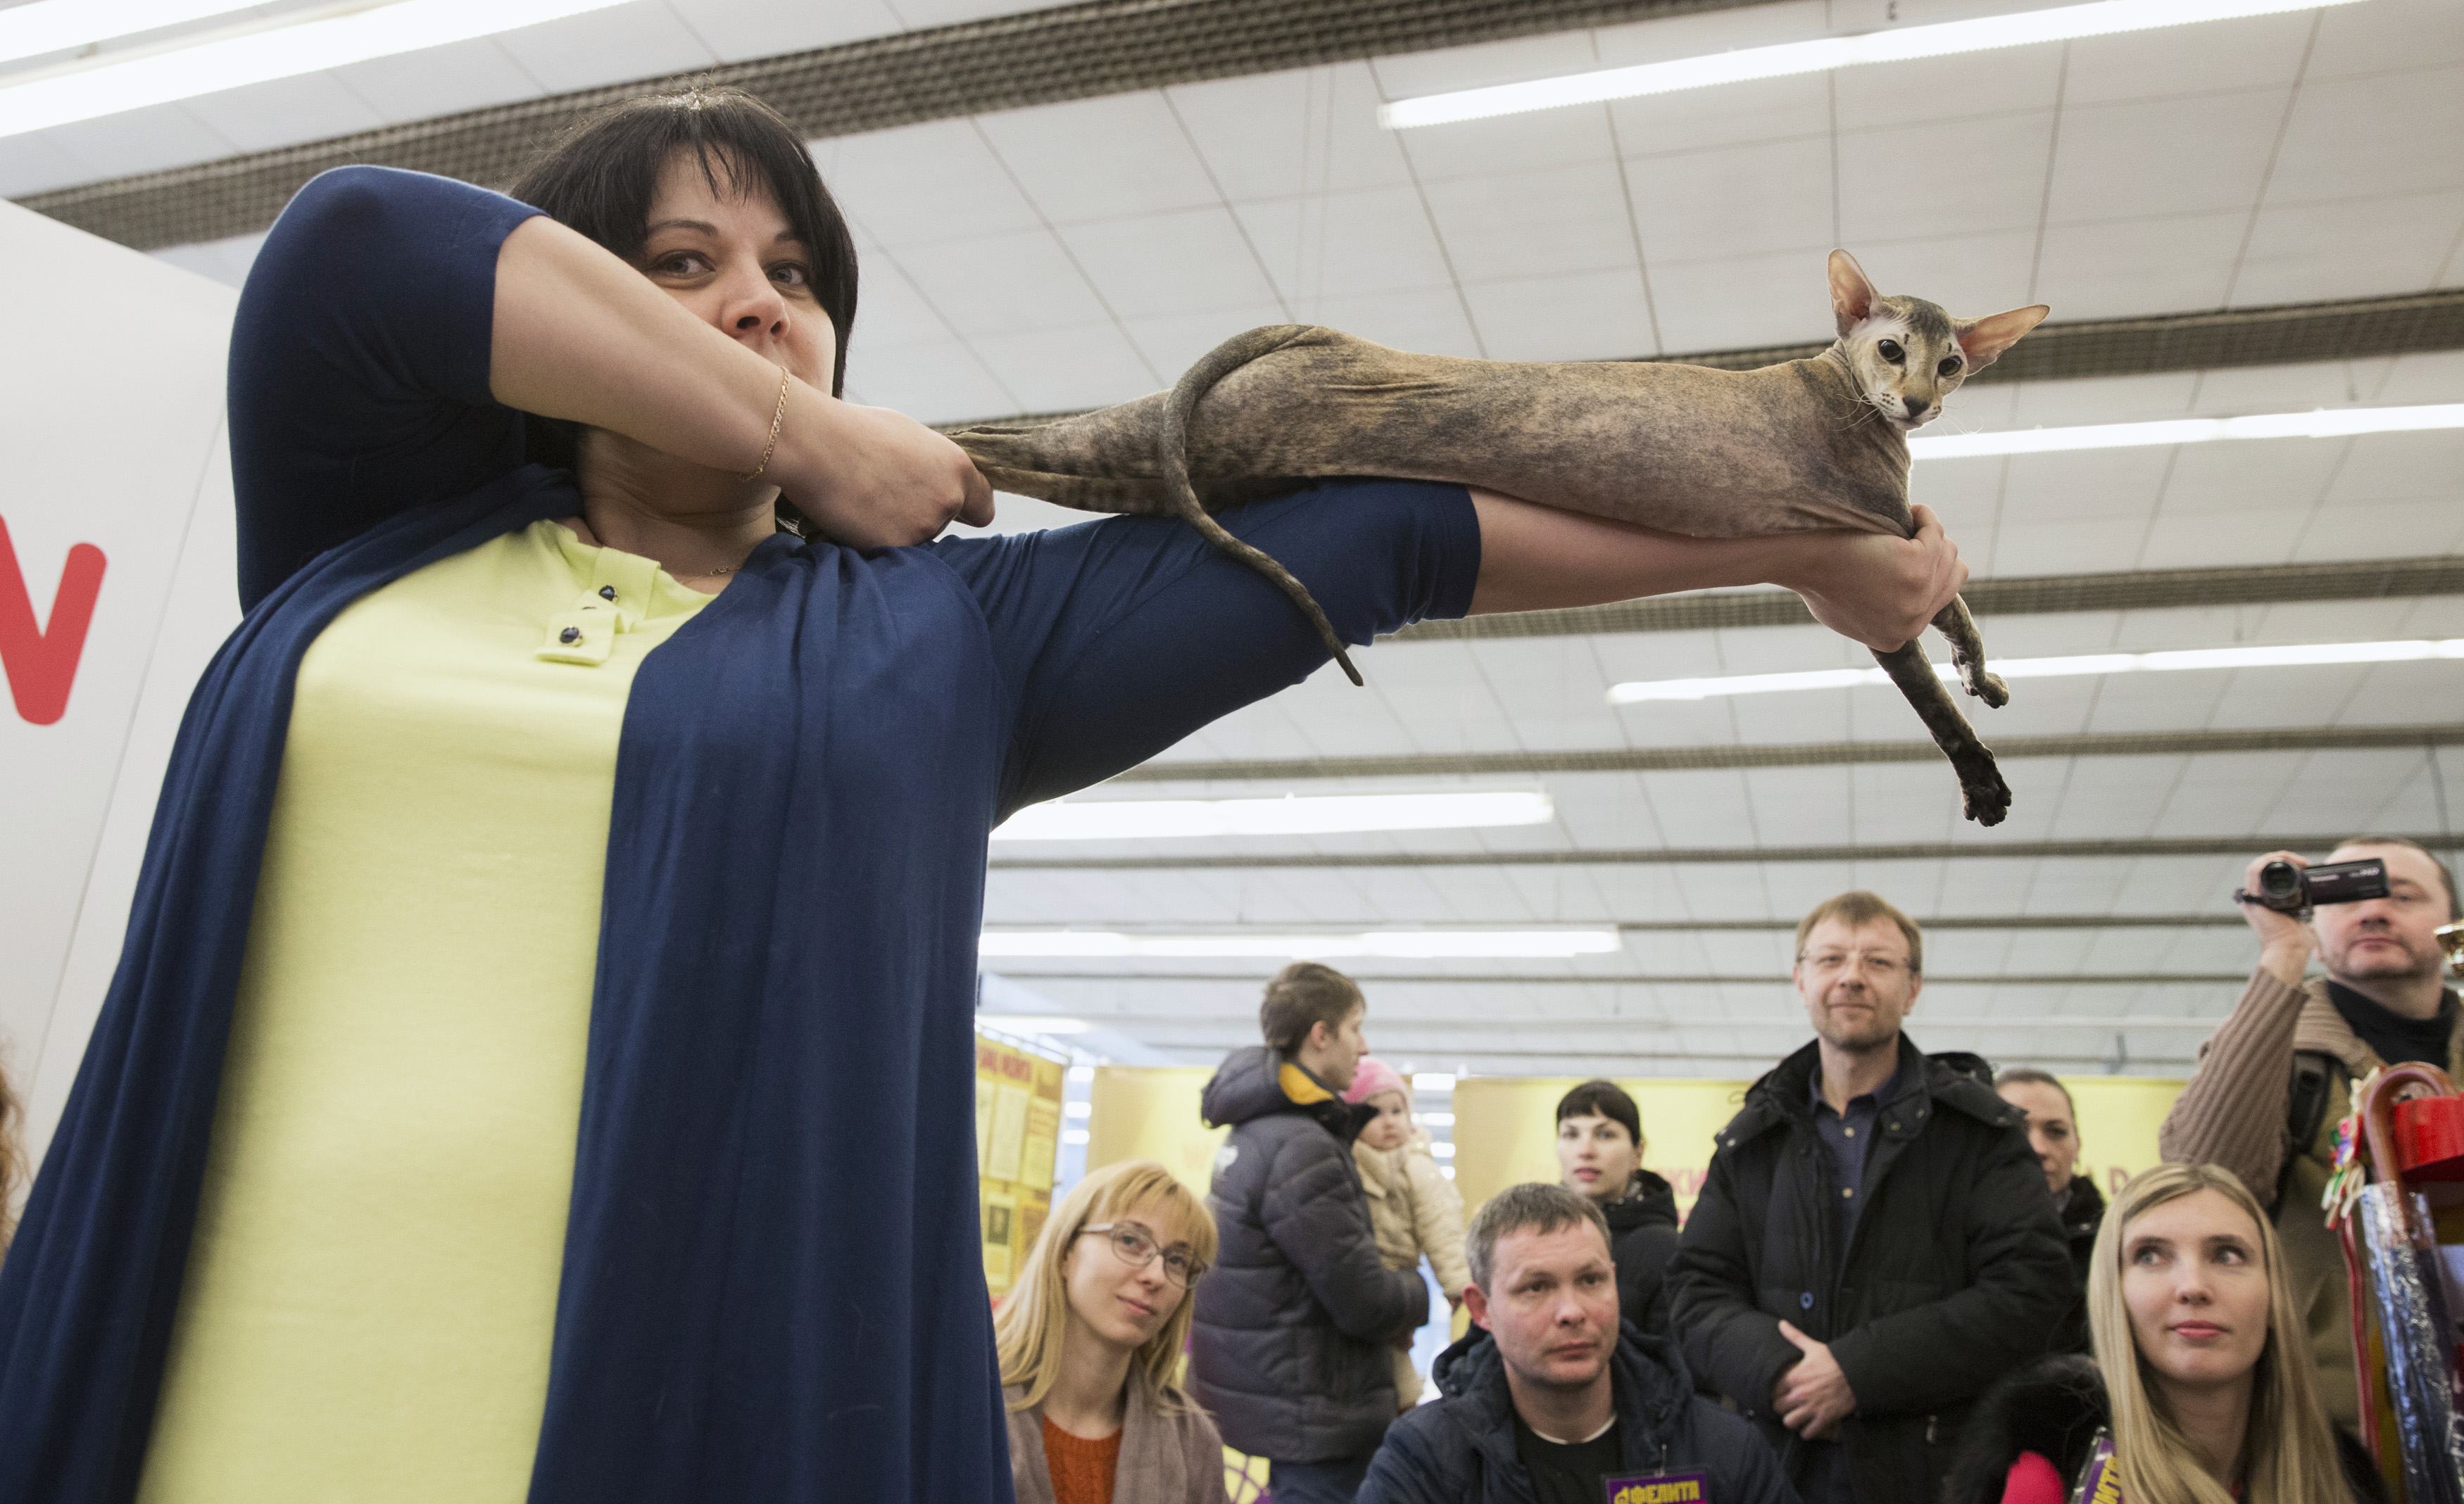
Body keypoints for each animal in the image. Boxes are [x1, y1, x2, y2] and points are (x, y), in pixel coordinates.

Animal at [949, 251, 2047, 826]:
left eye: (1954, 363)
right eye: (1890, 348)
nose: (1917, 402)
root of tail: (1326, 333)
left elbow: (1955, 628)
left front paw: (1985, 678)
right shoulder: (1880, 553)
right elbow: (1936, 664)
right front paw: (1981, 759)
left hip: (1196, 461)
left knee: (1025, 460)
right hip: (1209, 429)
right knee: (989, 437)